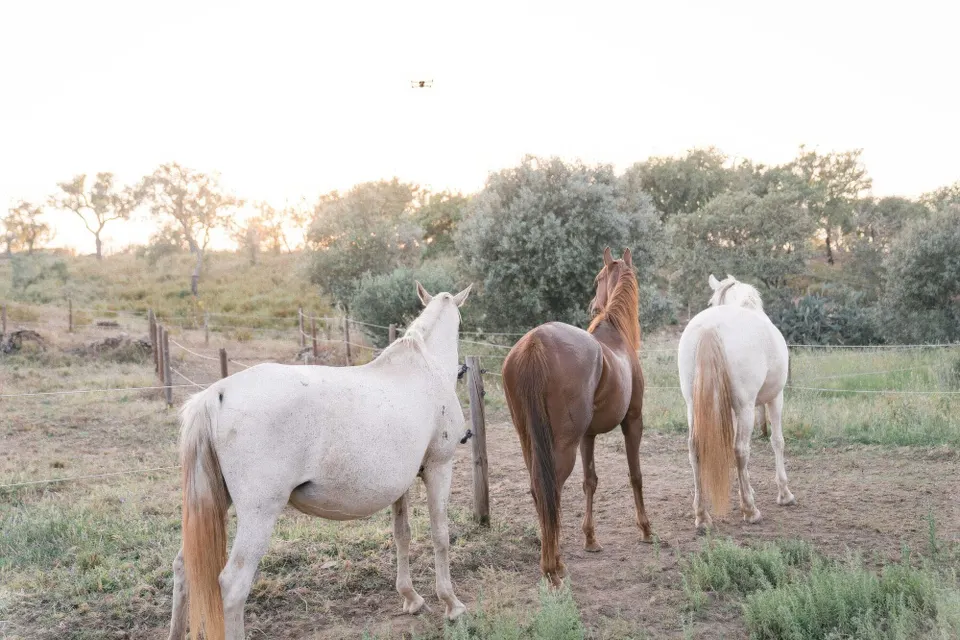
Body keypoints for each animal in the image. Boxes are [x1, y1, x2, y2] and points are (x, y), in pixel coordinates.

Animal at [168, 282, 472, 640]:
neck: (425, 368)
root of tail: (217, 394)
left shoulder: (405, 484)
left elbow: (403, 534)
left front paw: (411, 598)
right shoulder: (439, 468)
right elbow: (440, 535)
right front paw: (452, 604)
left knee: (184, 568)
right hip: (259, 513)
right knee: (232, 586)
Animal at [502, 247, 652, 587]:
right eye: (598, 278)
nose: (592, 303)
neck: (617, 337)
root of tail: (535, 343)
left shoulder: (588, 435)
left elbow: (590, 481)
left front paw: (590, 539)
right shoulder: (633, 422)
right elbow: (635, 476)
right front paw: (647, 529)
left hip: (529, 441)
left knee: (539, 489)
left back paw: (553, 561)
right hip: (563, 445)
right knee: (551, 490)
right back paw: (552, 567)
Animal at [677, 274, 796, 533]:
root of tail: (710, 327)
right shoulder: (776, 397)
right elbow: (777, 441)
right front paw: (784, 494)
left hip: (692, 406)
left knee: (695, 449)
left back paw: (702, 516)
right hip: (746, 407)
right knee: (741, 450)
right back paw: (750, 511)